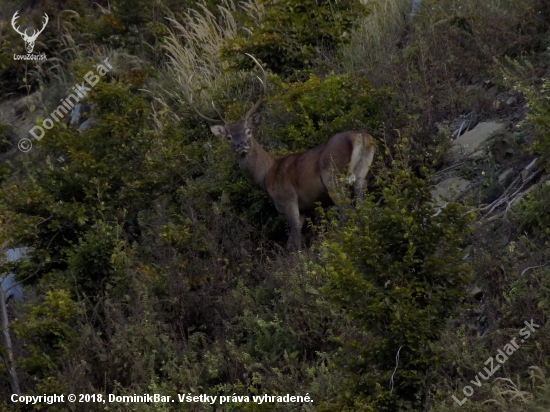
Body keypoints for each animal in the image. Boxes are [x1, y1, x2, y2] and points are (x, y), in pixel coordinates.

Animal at [183, 54, 378, 248]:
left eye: (248, 131)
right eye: (229, 137)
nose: (241, 145)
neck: (265, 175)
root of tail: (360, 137)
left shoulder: (288, 199)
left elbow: (295, 241)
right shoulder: (304, 207)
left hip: (333, 177)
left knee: (347, 212)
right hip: (362, 176)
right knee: (363, 207)